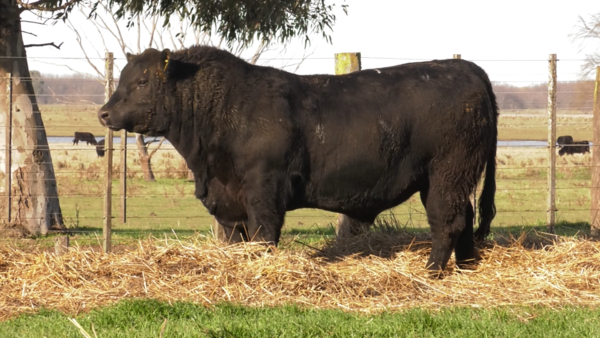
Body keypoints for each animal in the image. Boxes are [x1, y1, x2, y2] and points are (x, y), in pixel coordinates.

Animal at [97, 46, 496, 272]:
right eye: (124, 78)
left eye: (143, 81)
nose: (104, 113)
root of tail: (468, 69)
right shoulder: (228, 201)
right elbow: (235, 240)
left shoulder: (264, 189)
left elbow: (263, 234)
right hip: (450, 178)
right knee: (465, 217)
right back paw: (466, 265)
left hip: (447, 173)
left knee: (447, 221)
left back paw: (432, 270)